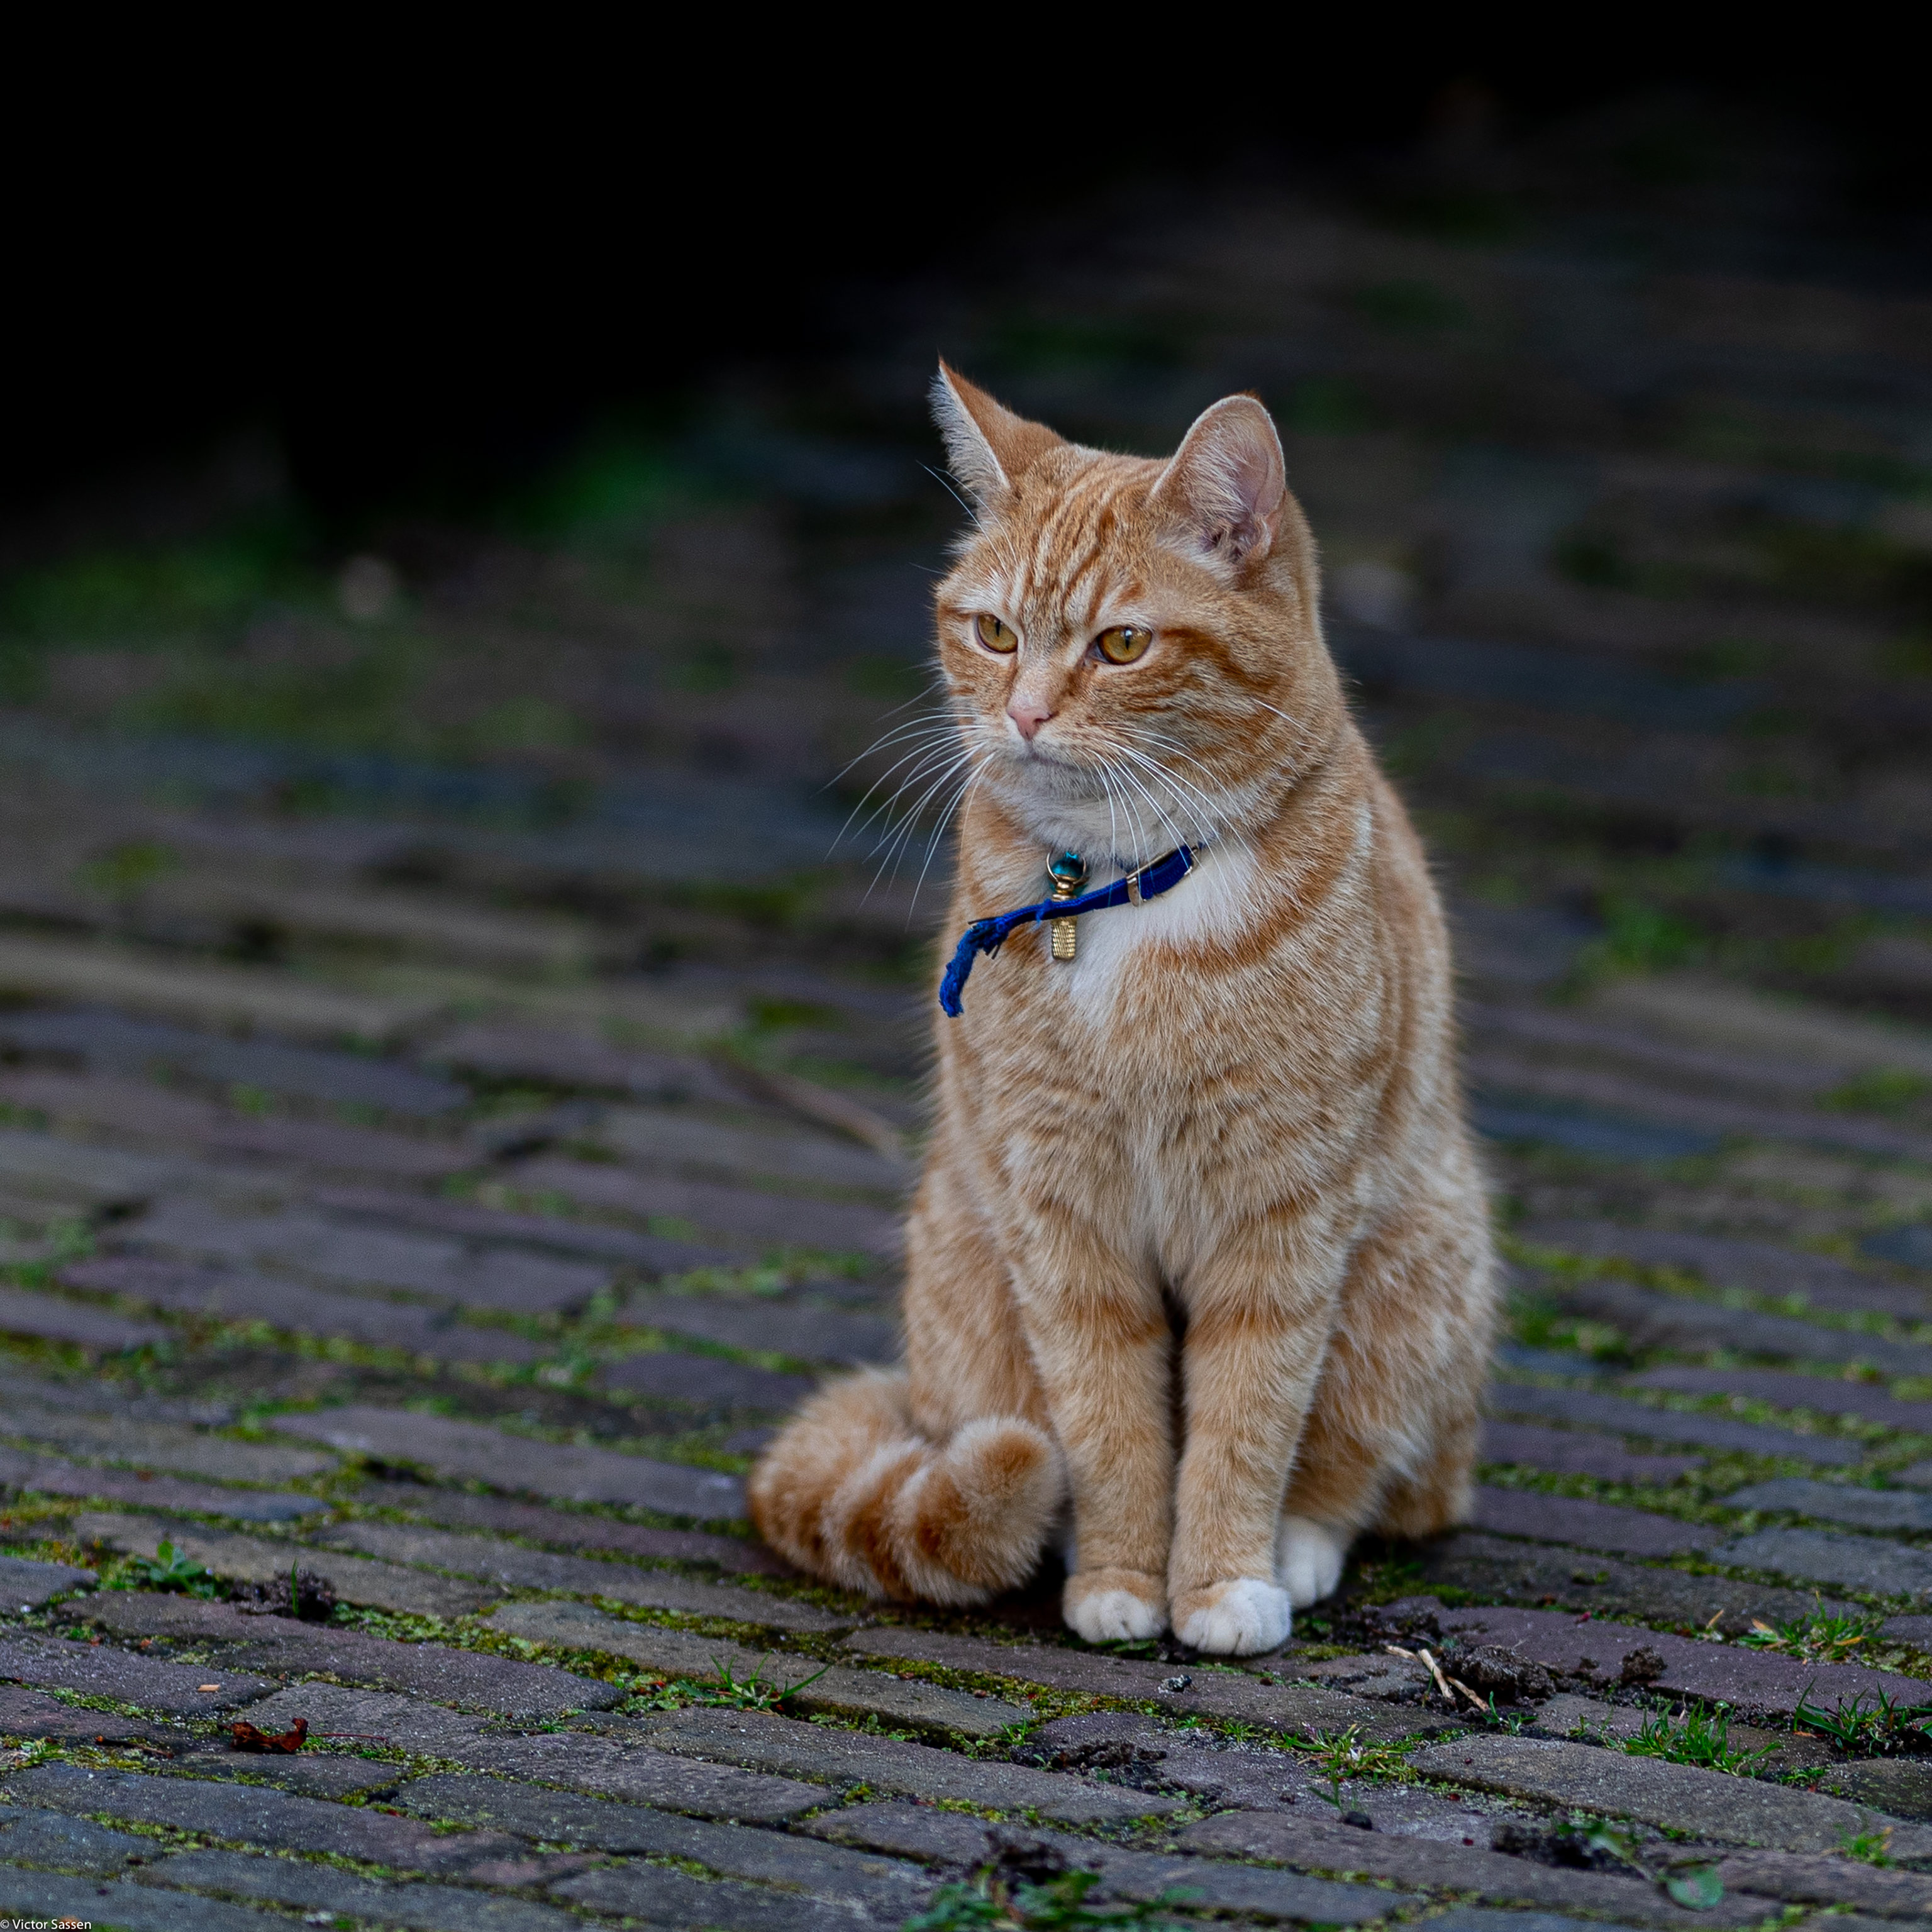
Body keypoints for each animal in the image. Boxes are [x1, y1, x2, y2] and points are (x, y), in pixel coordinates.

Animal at [749, 369, 1491, 1653]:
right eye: (995, 633)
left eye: (1123, 644)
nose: (1026, 715)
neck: (1127, 887)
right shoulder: (1063, 1220)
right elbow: (1108, 1423)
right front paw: (1121, 1579)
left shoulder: (1279, 1221)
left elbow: (1246, 1420)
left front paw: (1222, 1582)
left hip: (1413, 1272)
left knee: (1386, 1479)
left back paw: (1299, 1547)